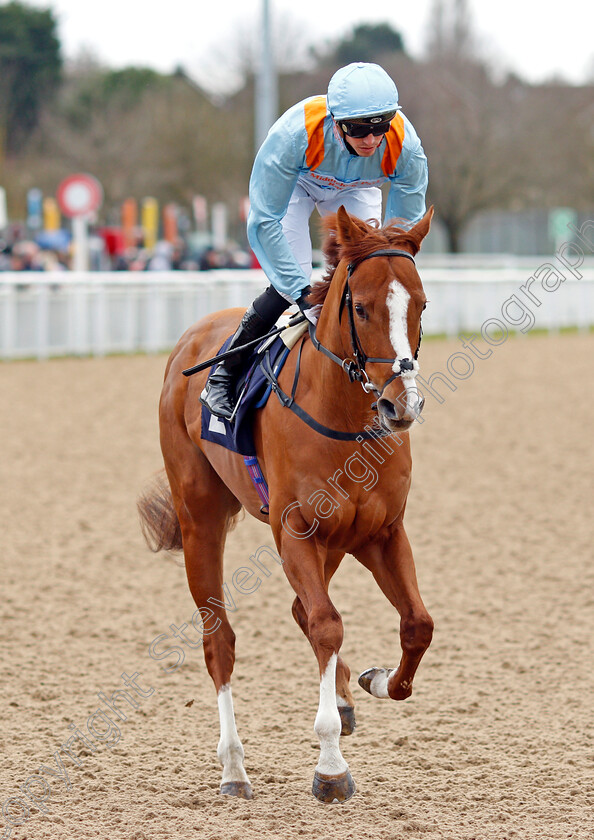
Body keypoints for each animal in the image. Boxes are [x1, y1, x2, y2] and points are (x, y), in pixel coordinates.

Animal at [139, 207, 434, 804]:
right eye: (361, 307)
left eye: (420, 304)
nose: (402, 405)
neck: (347, 421)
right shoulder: (297, 530)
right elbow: (325, 624)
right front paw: (331, 767)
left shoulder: (381, 531)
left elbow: (417, 623)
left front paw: (377, 682)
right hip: (200, 519)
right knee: (220, 641)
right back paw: (233, 768)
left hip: (337, 541)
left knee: (303, 610)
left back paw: (343, 695)